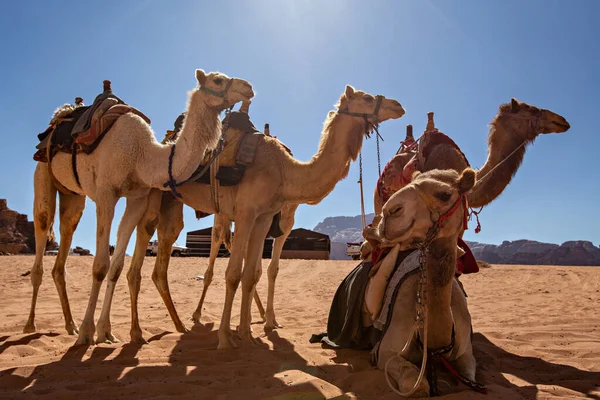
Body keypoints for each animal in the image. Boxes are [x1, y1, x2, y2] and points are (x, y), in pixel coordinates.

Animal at [22, 69, 253, 344]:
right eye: (218, 80)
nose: (248, 87)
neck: (142, 155)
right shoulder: (106, 193)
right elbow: (100, 266)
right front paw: (89, 333)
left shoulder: (137, 198)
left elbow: (116, 266)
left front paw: (106, 331)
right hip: (43, 174)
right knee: (42, 224)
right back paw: (31, 325)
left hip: (73, 194)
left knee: (66, 237)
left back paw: (70, 325)